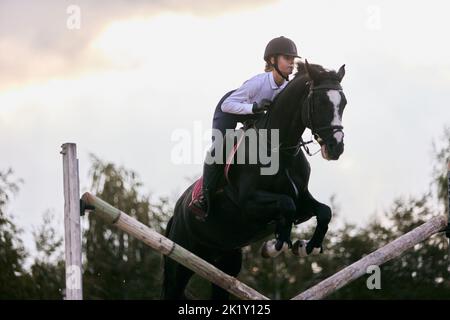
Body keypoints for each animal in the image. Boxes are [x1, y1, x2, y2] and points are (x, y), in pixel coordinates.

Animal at [163, 60, 348, 300]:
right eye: (320, 102)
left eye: (343, 103)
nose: (336, 148)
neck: (280, 150)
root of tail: (175, 215)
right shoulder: (249, 203)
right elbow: (286, 205)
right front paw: (276, 245)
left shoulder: (303, 200)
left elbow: (324, 211)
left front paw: (308, 246)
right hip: (180, 259)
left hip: (225, 261)